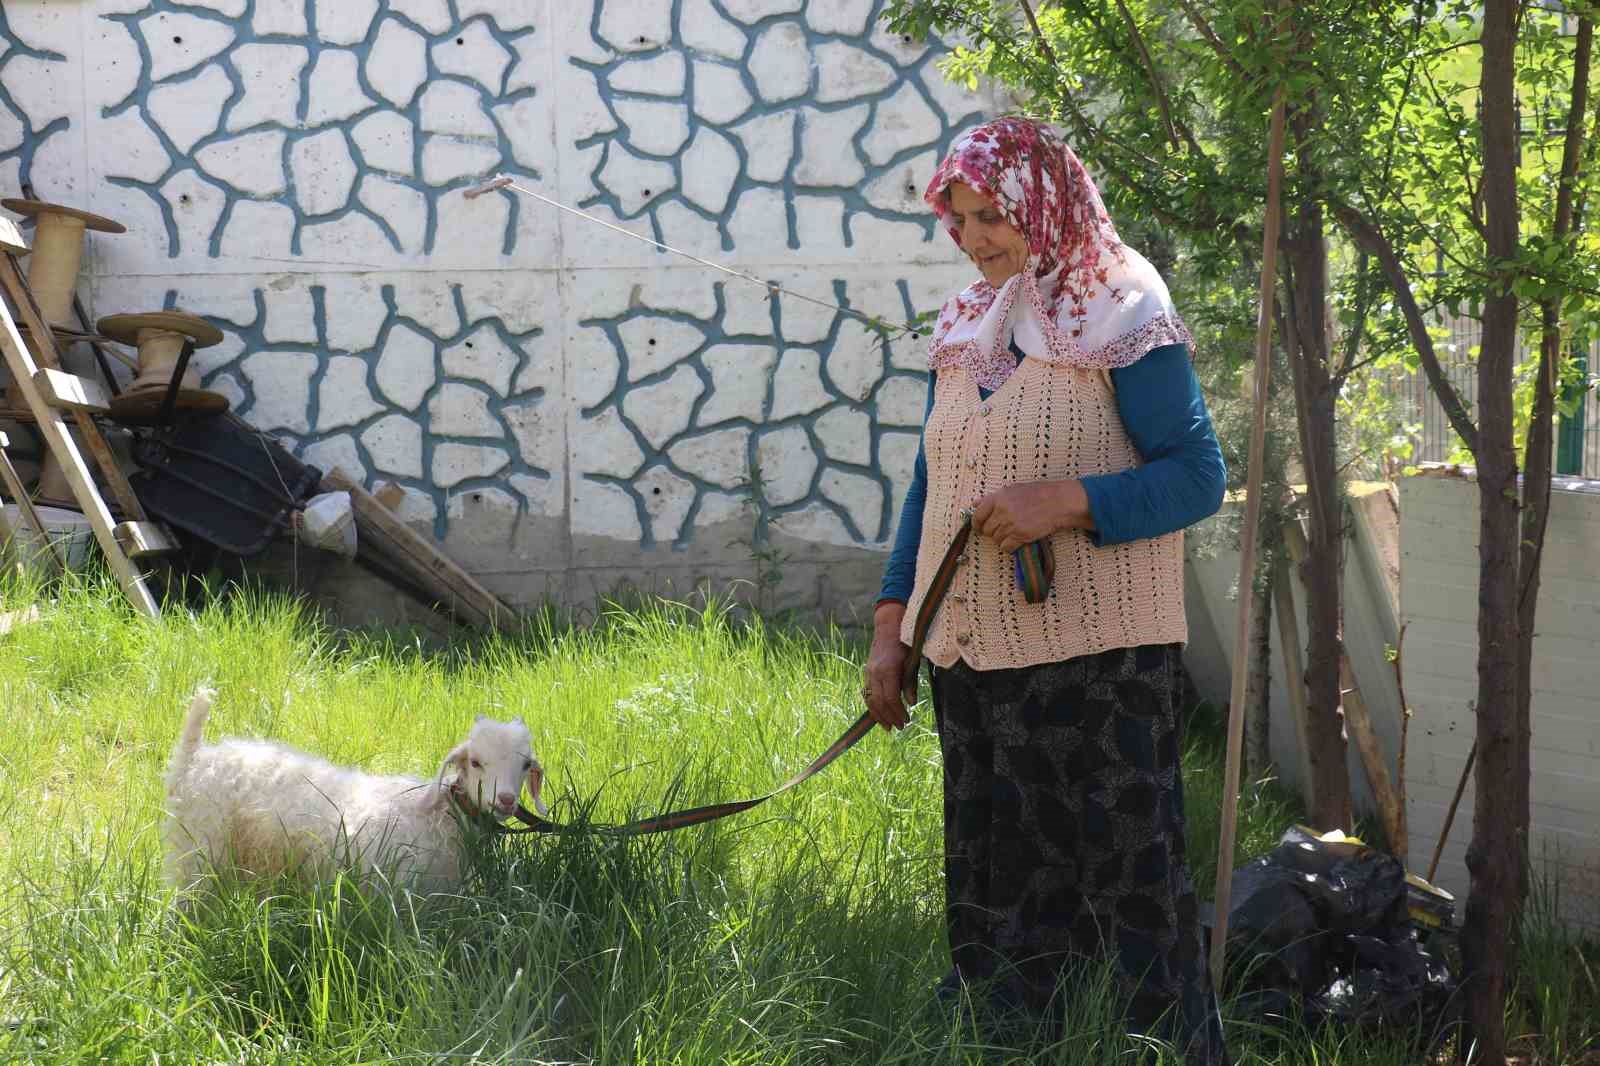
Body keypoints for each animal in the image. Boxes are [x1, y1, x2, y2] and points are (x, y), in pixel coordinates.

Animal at [162, 685, 550, 889]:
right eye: (475, 762)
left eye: (525, 765)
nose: (505, 799)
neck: (442, 815)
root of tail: (195, 757)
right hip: (198, 853)